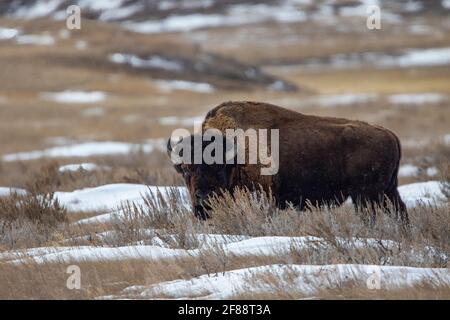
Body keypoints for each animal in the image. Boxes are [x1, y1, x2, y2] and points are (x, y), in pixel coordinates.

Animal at [167, 101, 410, 226]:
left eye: (217, 168)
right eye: (186, 169)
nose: (202, 197)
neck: (235, 156)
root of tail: (390, 135)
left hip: (366, 196)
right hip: (387, 191)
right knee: (400, 211)